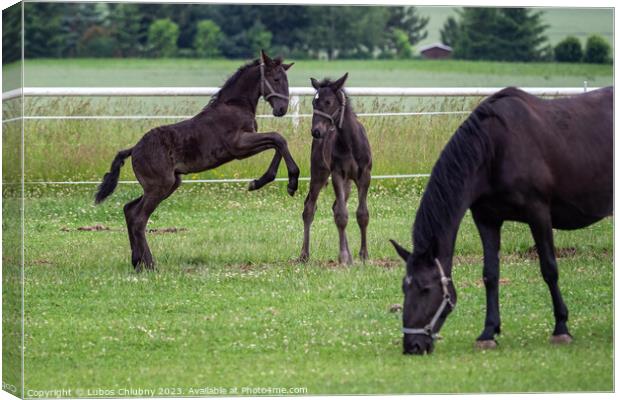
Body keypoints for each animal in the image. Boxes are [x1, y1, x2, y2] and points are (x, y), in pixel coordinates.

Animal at [94, 49, 300, 268]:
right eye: (276, 79)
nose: (282, 109)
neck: (234, 106)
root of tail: (134, 149)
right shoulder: (238, 146)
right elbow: (279, 138)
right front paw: (292, 182)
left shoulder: (245, 146)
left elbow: (276, 143)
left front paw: (259, 182)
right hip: (160, 186)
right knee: (139, 218)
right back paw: (150, 265)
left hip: (168, 184)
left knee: (129, 210)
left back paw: (137, 262)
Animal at [298, 73, 370, 264]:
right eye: (314, 102)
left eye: (328, 102)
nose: (316, 131)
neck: (350, 143)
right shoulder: (338, 174)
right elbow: (342, 216)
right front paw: (343, 256)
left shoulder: (364, 176)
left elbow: (362, 214)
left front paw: (363, 255)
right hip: (319, 173)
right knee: (309, 208)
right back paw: (304, 255)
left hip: (348, 183)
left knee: (336, 206)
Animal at [390, 86, 612, 354]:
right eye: (404, 287)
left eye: (425, 289)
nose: (412, 346)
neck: (495, 148)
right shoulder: (487, 219)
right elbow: (490, 274)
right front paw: (488, 332)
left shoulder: (538, 213)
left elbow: (549, 269)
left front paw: (561, 328)